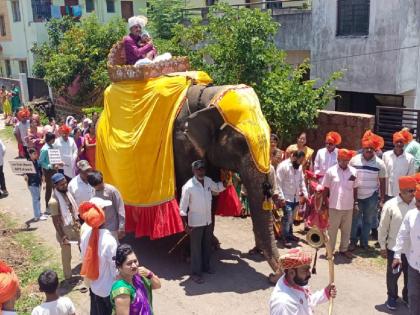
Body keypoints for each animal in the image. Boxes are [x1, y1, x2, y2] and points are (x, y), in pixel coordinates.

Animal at [174, 82, 282, 282]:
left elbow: (212, 196)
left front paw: (211, 248)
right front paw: (188, 256)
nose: (273, 276)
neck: (210, 96)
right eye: (240, 143)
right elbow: (183, 193)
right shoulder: (181, 145)